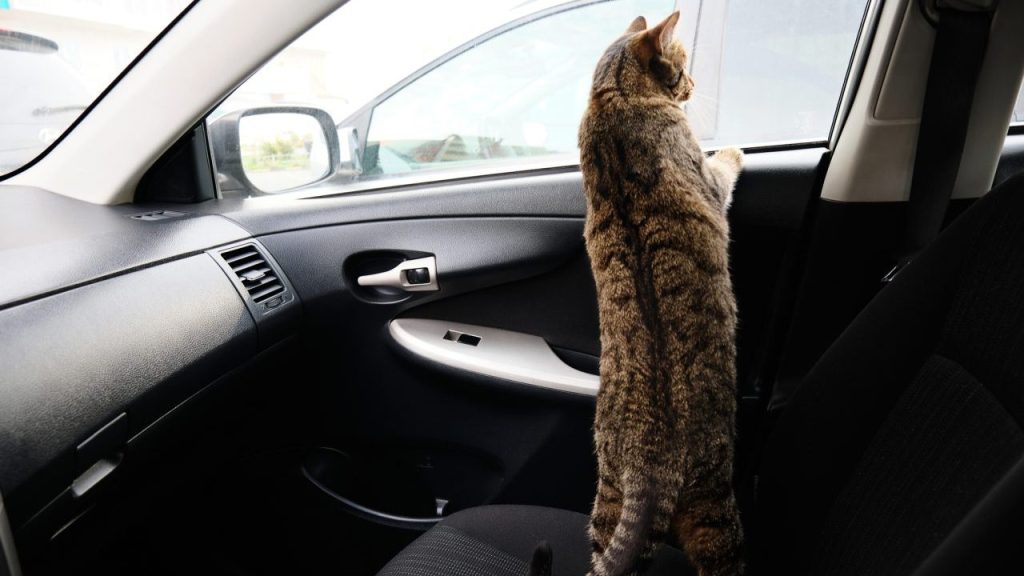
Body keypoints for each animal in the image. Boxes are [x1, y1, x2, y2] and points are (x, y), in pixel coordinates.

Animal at [528, 10, 745, 573]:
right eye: (683, 67)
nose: (691, 86)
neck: (612, 97)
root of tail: (654, 464)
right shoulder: (705, 177)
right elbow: (722, 168)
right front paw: (735, 148)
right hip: (716, 508)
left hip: (607, 496)